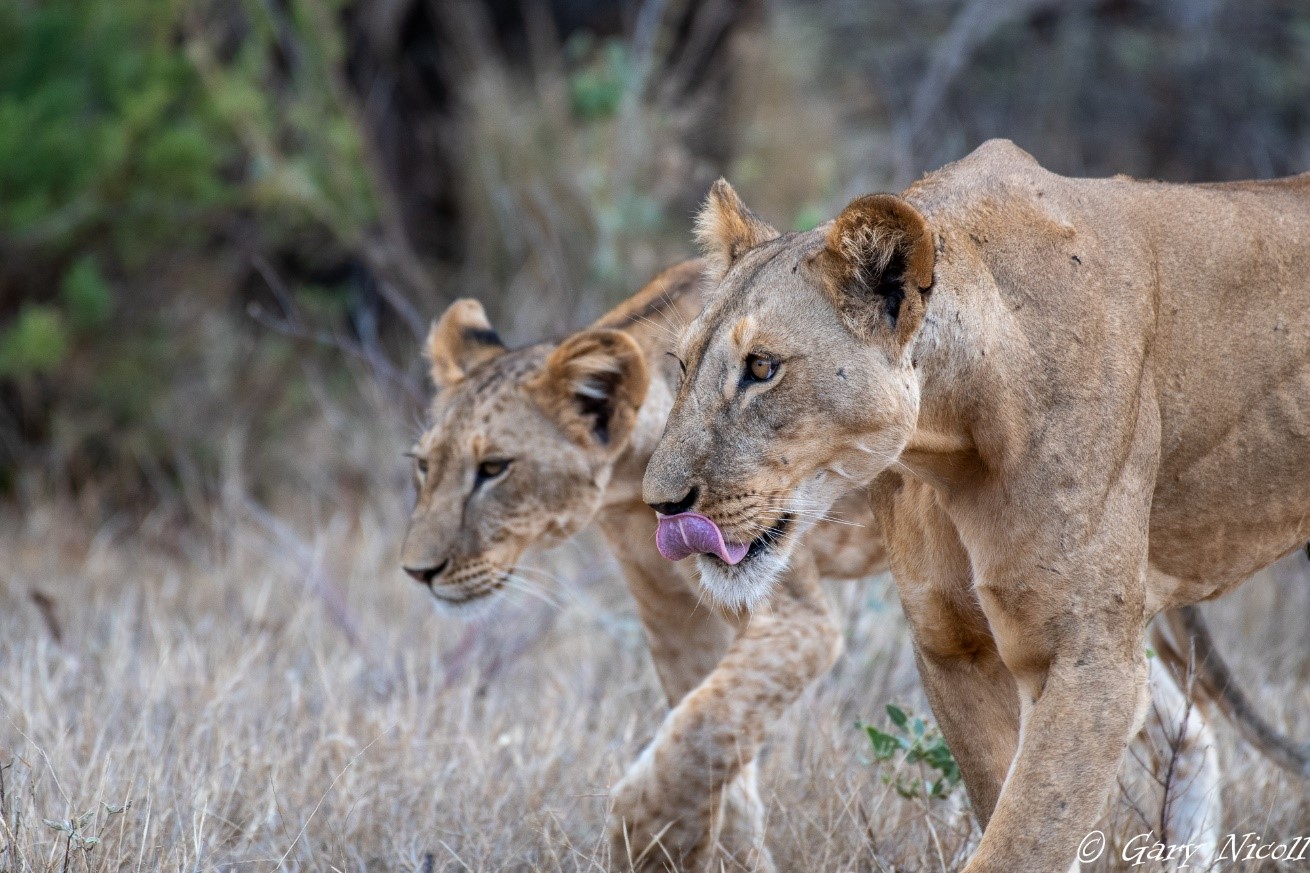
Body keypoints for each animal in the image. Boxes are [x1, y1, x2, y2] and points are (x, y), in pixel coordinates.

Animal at [642, 139, 1310, 871]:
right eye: (683, 364)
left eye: (762, 367)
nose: (660, 505)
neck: (949, 442)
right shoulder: (953, 646)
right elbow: (1006, 813)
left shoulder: (1089, 664)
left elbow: (1020, 841)